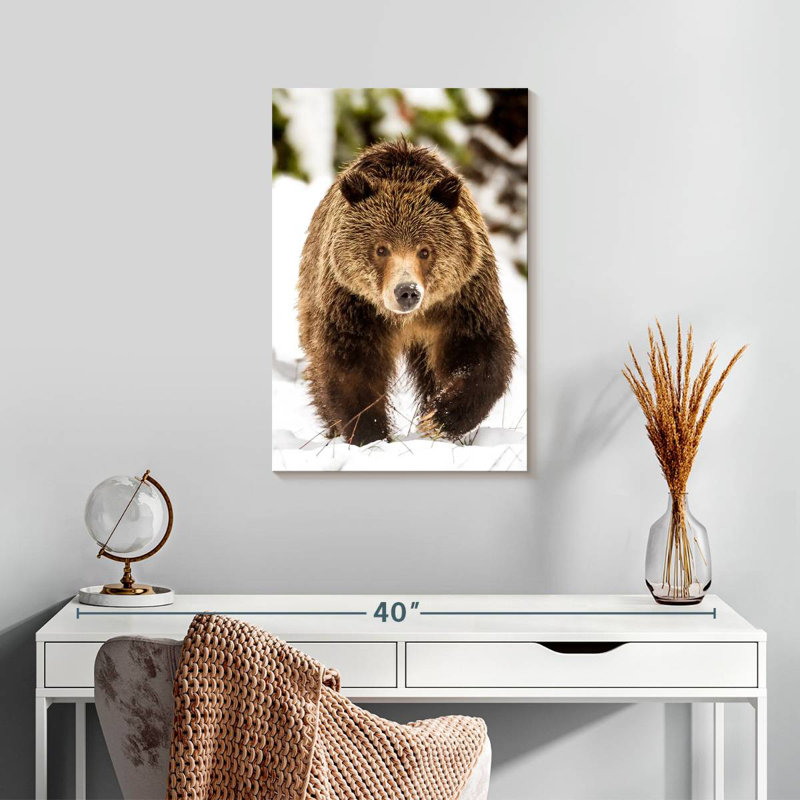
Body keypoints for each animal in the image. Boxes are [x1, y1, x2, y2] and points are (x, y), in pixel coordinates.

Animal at [297, 139, 515, 447]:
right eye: (381, 248)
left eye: (424, 250)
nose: (407, 291)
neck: (407, 319)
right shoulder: (353, 307)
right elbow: (350, 369)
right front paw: (370, 434)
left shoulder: (462, 300)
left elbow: (479, 354)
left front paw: (438, 419)